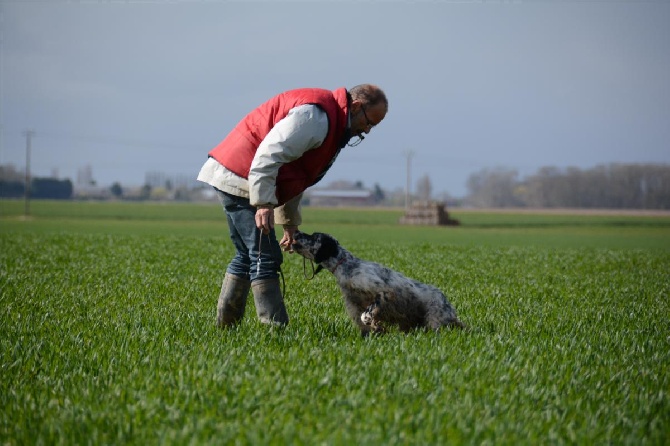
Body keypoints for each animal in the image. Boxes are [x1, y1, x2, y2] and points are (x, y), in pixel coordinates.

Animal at [294, 232, 468, 336]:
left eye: (314, 237)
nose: (296, 232)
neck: (346, 266)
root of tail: (447, 303)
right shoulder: (354, 305)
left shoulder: (383, 291)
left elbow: (367, 314)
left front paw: (374, 324)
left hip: (435, 320)